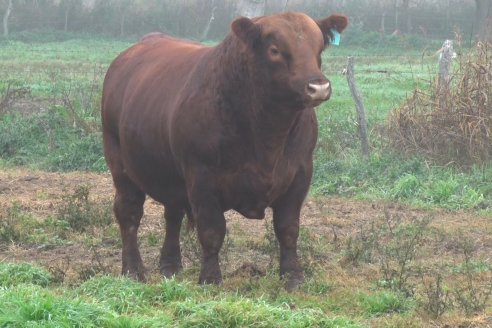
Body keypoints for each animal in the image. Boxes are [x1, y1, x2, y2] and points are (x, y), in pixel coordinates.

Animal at [103, 10, 350, 290]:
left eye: (319, 47)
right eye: (275, 49)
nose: (318, 87)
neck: (267, 135)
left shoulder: (300, 173)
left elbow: (288, 228)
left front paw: (292, 277)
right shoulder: (201, 178)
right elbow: (212, 231)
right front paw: (210, 279)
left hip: (172, 176)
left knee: (172, 214)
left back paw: (170, 266)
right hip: (120, 163)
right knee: (129, 213)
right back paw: (133, 270)